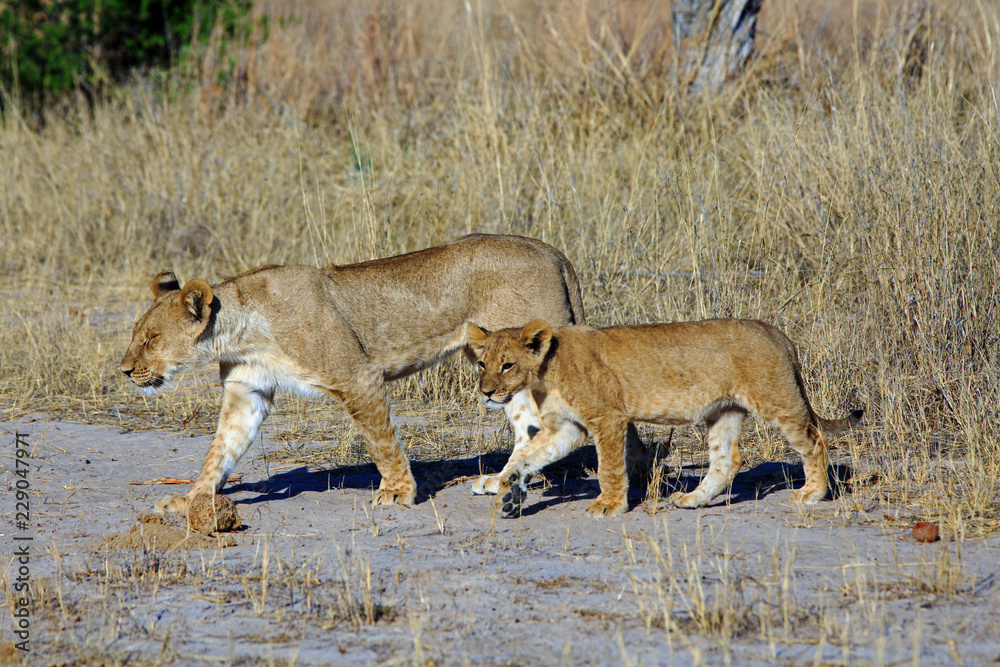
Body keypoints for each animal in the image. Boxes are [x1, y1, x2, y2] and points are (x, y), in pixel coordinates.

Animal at [120, 234, 644, 515]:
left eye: (150, 339)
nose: (125, 370)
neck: (241, 329)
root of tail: (550, 250)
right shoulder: (246, 392)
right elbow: (220, 451)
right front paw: (191, 501)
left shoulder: (357, 375)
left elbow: (380, 440)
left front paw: (397, 492)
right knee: (536, 428)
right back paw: (508, 481)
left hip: (523, 364)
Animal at [466, 319, 863, 518]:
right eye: (482, 364)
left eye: (507, 365)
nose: (486, 392)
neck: (545, 374)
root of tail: (777, 333)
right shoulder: (568, 428)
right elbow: (529, 454)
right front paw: (508, 487)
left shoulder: (608, 418)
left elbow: (610, 467)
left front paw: (609, 506)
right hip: (724, 411)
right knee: (727, 461)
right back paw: (695, 499)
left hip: (775, 399)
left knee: (814, 441)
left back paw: (812, 493)